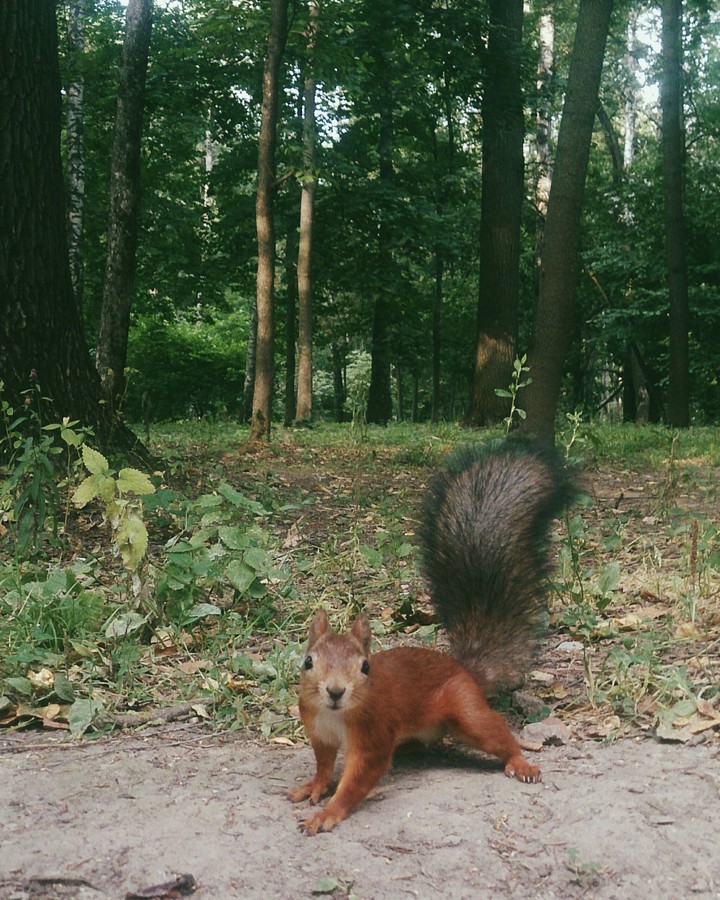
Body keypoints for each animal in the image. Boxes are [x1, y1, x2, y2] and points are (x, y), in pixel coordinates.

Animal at [288, 438, 575, 835]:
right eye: (308, 662)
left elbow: (358, 779)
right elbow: (322, 765)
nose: (334, 691)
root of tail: (464, 669)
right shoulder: (318, 733)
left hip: (467, 711)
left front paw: (327, 813)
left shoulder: (373, 737)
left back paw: (520, 761)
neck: (338, 717)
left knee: (498, 732)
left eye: (364, 667)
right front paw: (314, 787)